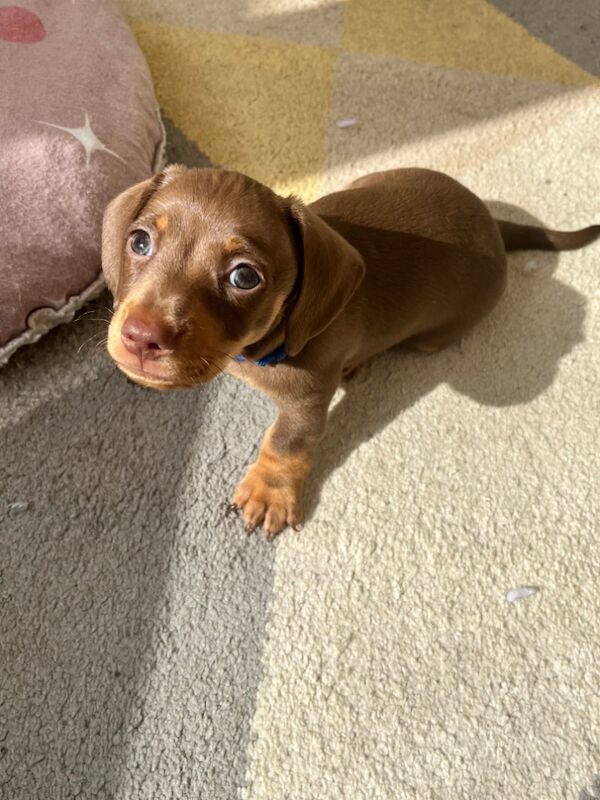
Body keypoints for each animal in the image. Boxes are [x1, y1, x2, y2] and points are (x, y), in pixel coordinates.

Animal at [101, 165, 596, 536]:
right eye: (140, 241)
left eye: (244, 277)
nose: (141, 337)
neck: (255, 349)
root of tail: (494, 226)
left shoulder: (307, 400)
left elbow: (286, 442)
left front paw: (269, 490)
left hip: (433, 335)